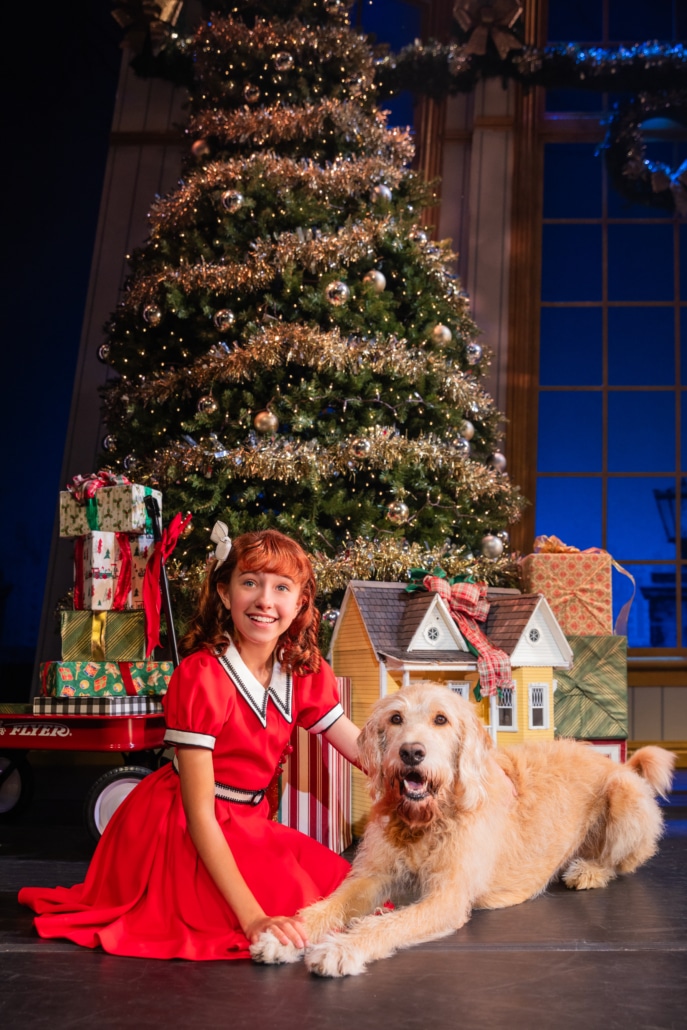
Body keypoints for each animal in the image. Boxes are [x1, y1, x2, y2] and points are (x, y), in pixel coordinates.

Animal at [250, 679, 675, 976]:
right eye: (396, 718)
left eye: (441, 719)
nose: (411, 752)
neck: (426, 820)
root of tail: (621, 765)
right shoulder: (371, 877)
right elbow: (331, 904)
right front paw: (286, 934)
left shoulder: (447, 898)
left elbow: (388, 924)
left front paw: (340, 949)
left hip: (624, 796)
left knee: (620, 862)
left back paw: (587, 870)